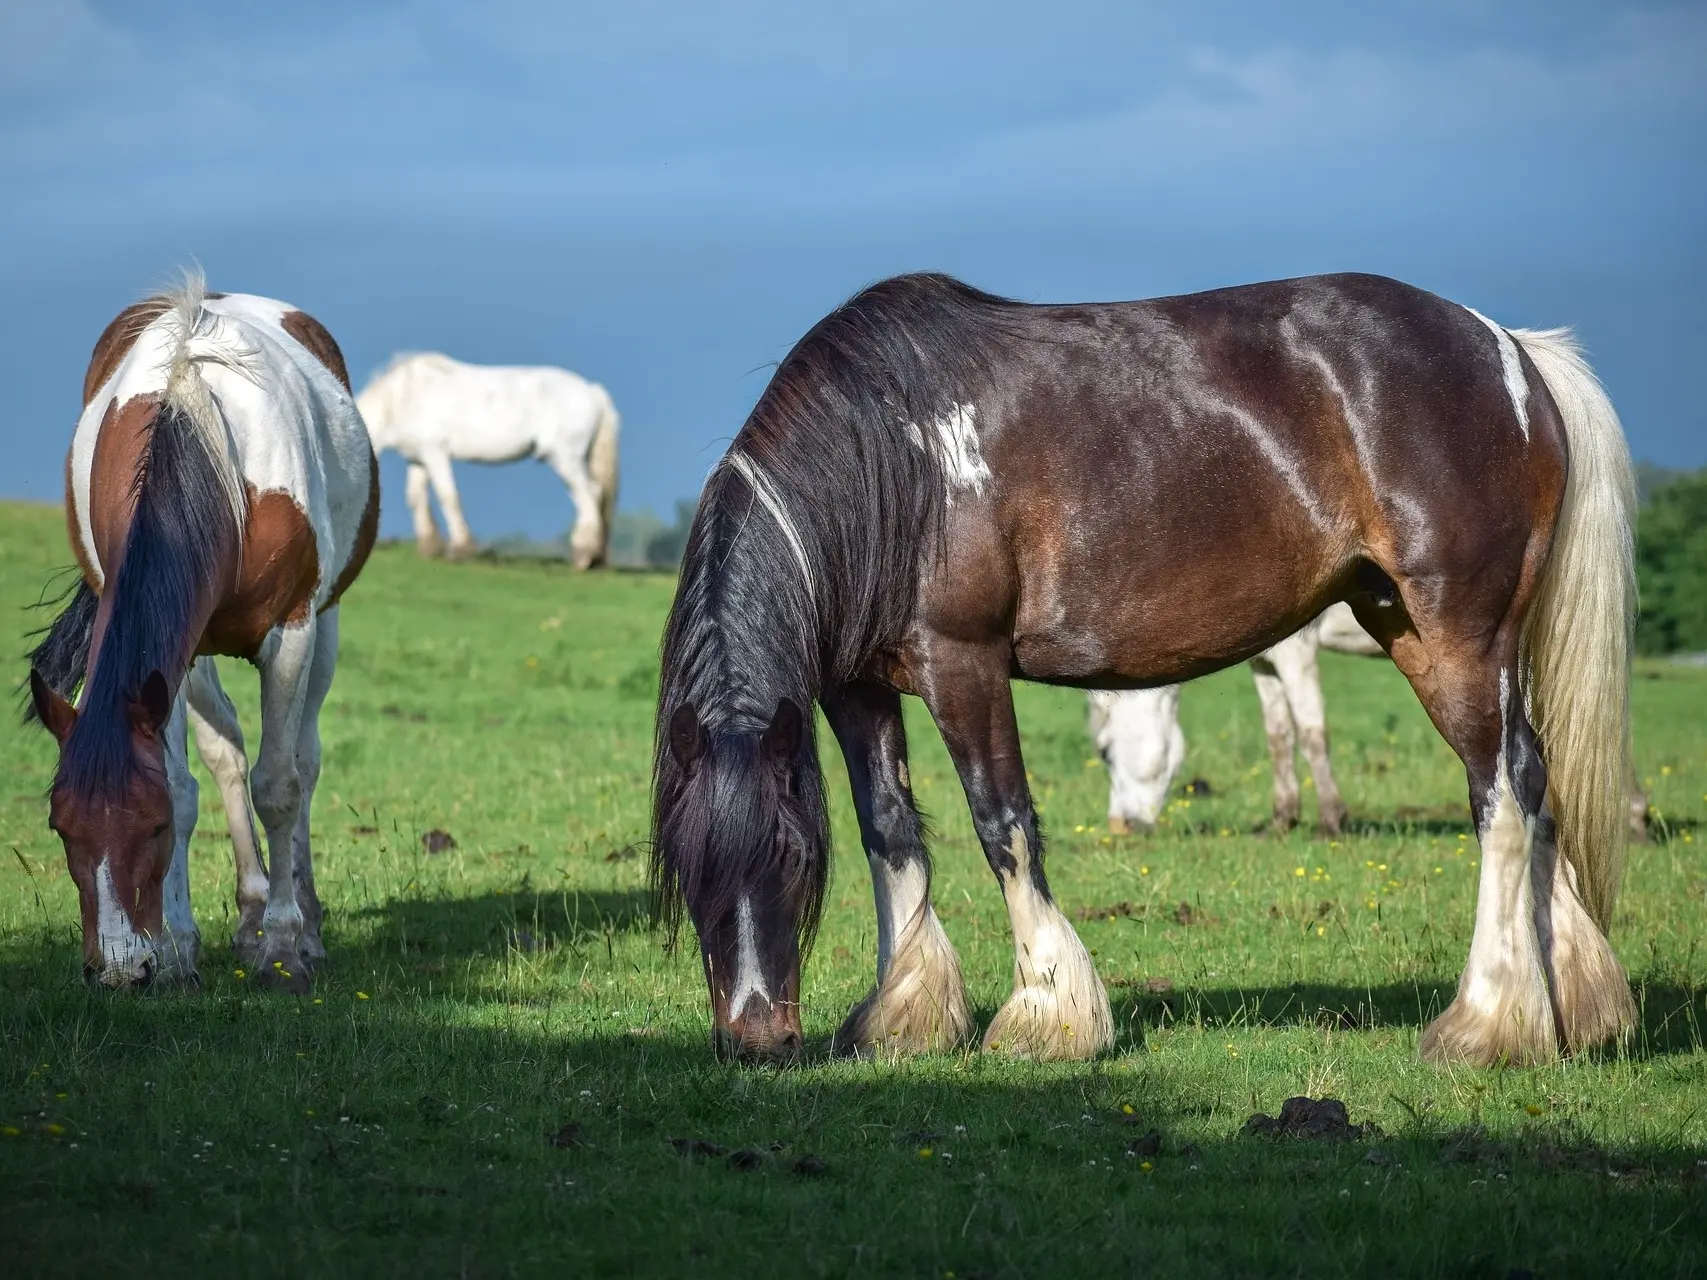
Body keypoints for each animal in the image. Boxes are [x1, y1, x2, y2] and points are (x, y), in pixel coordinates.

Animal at [26, 278, 375, 989]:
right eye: (61, 828)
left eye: (152, 828)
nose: (118, 971)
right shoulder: (171, 663)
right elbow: (189, 784)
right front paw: (178, 947)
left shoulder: (293, 631)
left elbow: (279, 786)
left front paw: (284, 944)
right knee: (228, 756)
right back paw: (247, 913)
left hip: (324, 628)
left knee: (304, 761)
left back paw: (302, 924)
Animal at [353, 353, 621, 570]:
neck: (400, 398)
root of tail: (593, 391)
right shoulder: (418, 459)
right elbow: (416, 498)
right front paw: (430, 548)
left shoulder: (435, 453)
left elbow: (448, 496)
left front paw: (460, 549)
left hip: (565, 459)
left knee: (589, 495)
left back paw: (584, 556)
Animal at [1085, 604, 1645, 843]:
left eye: (1105, 752)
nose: (1118, 826)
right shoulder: (1265, 660)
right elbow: (1278, 735)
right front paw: (1283, 818)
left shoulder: (1294, 650)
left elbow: (1311, 731)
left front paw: (1333, 818)